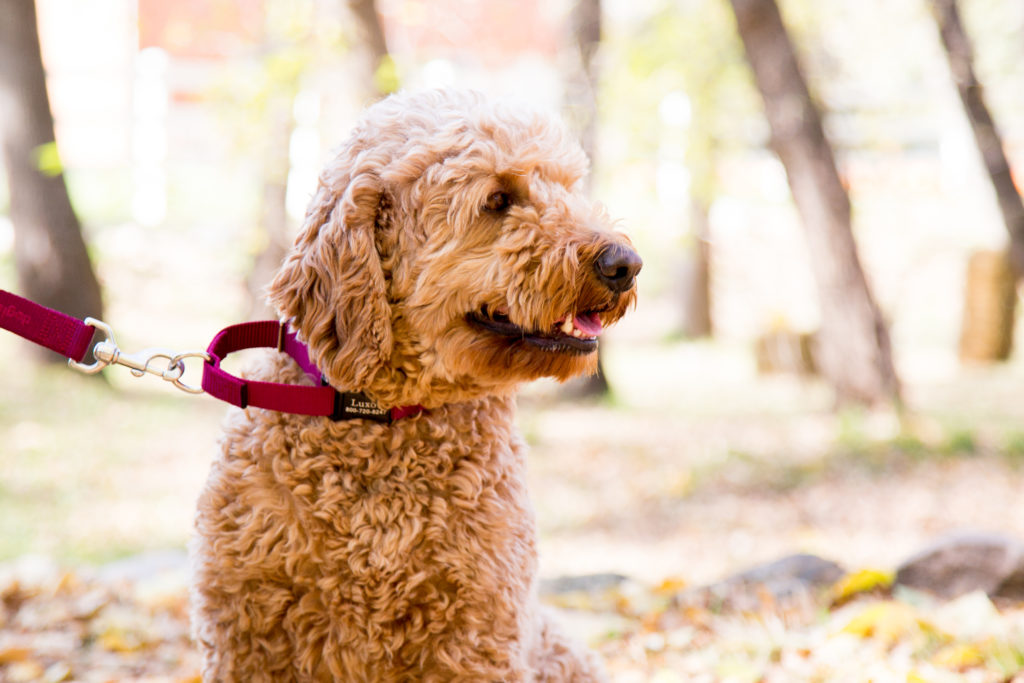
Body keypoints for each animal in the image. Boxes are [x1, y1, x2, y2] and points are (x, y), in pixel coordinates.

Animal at [190, 90, 638, 683]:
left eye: (569, 187)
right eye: (498, 199)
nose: (626, 263)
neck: (383, 420)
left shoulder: (478, 635)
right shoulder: (248, 639)